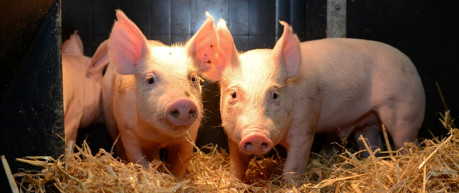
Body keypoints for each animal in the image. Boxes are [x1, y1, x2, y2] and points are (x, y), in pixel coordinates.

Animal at [103, 10, 218, 176]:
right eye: (150, 79)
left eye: (193, 78)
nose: (183, 102)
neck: (160, 136)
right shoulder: (127, 131)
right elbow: (138, 159)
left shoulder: (190, 135)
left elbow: (180, 163)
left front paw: (175, 177)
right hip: (108, 115)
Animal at [205, 20, 428, 184]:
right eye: (233, 94)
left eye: (275, 94)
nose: (256, 135)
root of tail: (411, 65)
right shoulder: (232, 135)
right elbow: (237, 167)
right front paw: (234, 184)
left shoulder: (306, 124)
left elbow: (292, 168)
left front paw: (292, 186)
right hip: (368, 121)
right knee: (372, 144)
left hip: (406, 109)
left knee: (405, 142)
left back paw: (408, 160)